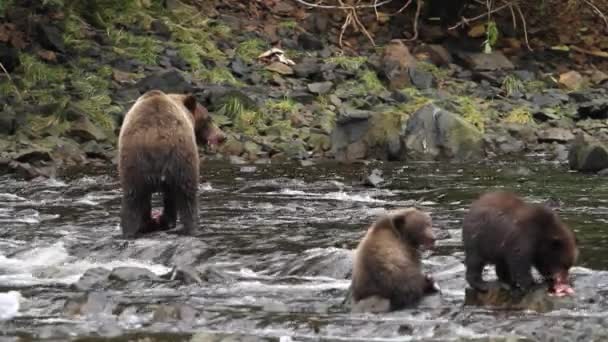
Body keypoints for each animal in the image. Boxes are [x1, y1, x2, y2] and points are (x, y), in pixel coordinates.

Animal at [117, 88, 224, 238]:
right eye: (209, 118)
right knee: (187, 196)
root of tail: (155, 139)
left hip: (134, 164)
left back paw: (132, 229)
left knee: (133, 199)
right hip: (181, 158)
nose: (222, 136)